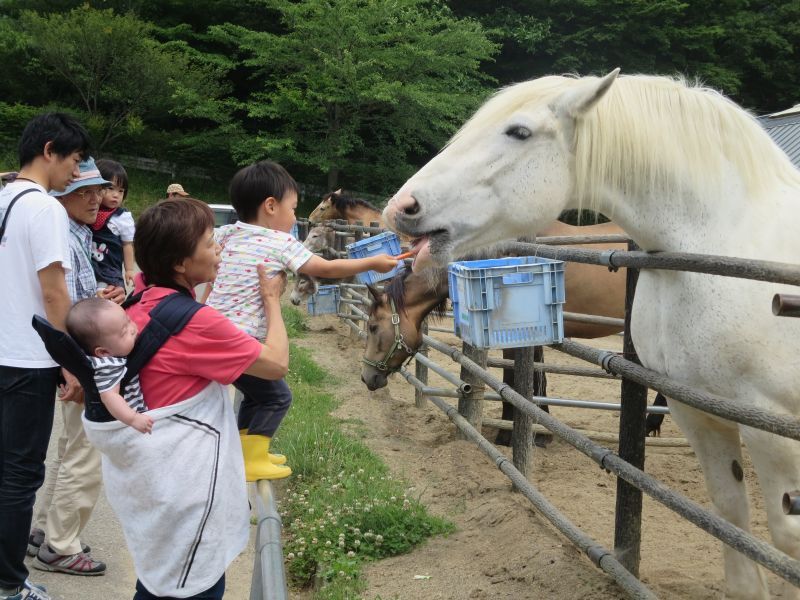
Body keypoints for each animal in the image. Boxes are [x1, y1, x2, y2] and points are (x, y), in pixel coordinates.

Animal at [382, 69, 800, 596]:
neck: (723, 240)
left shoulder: (772, 428)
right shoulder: (699, 412)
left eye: (518, 131)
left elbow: (786, 538)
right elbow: (732, 521)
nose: (401, 206)